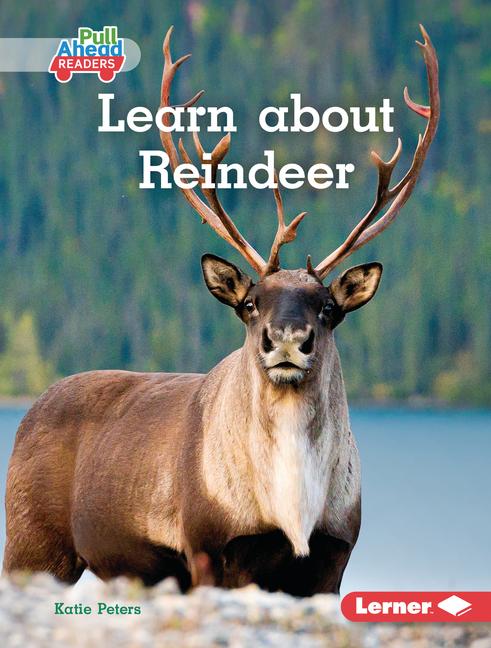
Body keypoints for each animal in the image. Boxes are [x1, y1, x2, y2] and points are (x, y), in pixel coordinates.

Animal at [3, 25, 439, 595]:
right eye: (250, 304)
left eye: (328, 307)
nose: (287, 339)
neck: (292, 505)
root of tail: (31, 409)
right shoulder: (210, 548)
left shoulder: (332, 557)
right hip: (31, 543)